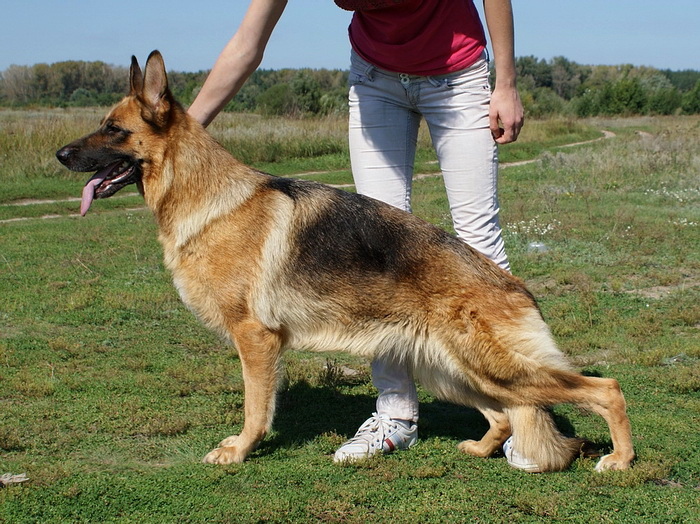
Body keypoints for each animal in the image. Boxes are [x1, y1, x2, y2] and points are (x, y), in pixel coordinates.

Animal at [56, 51, 636, 472]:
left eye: (113, 129)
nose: (60, 155)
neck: (204, 196)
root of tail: (515, 286)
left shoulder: (256, 339)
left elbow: (255, 409)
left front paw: (239, 451)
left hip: (493, 367)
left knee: (603, 389)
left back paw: (620, 459)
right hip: (454, 371)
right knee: (505, 416)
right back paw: (479, 449)